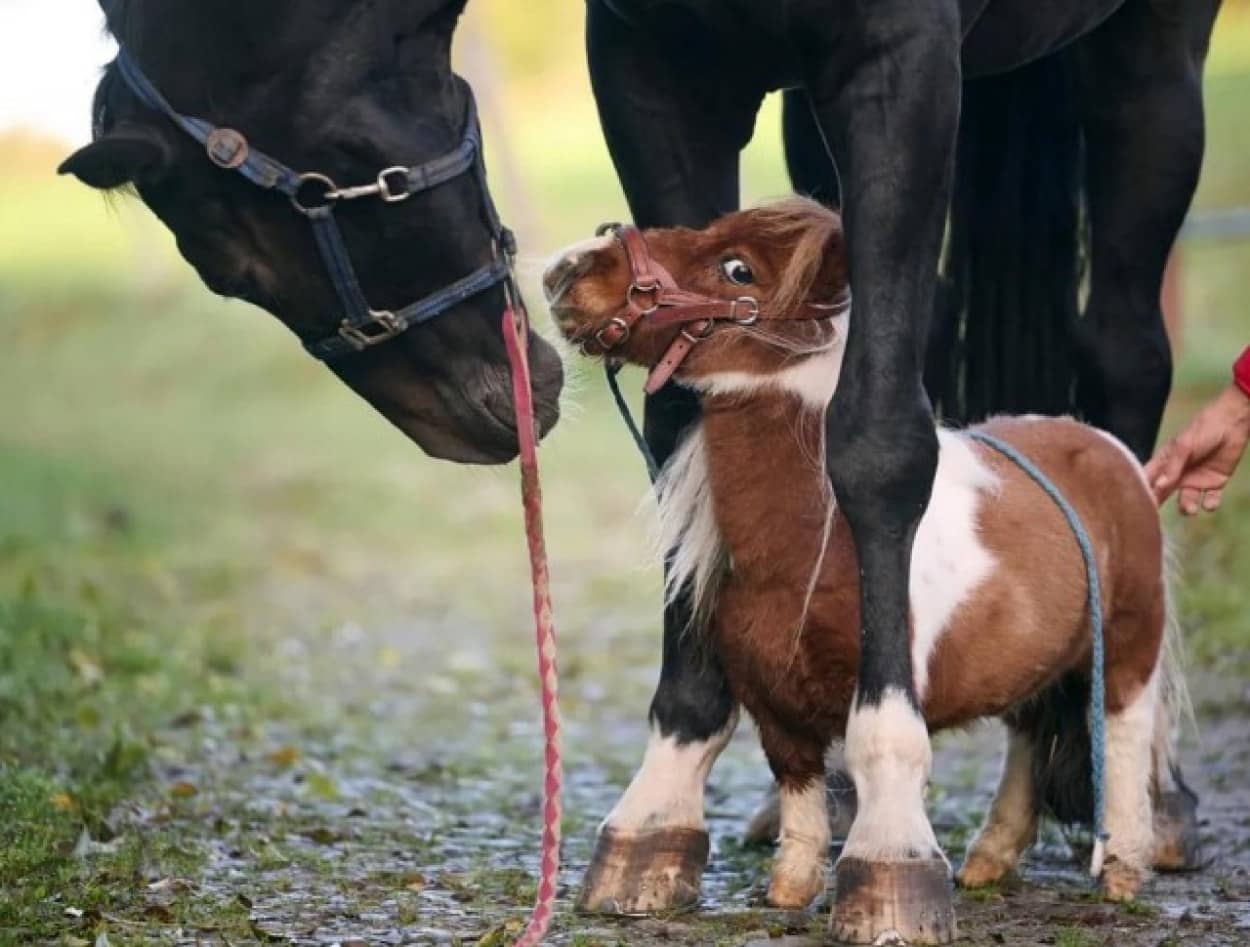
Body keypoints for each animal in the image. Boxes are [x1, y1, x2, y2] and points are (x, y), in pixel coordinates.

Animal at [547, 202, 1190, 914]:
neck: (813, 544)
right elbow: (800, 792)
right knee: (1028, 740)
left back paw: (1124, 867)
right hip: (1041, 665)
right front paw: (789, 890)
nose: (566, 270)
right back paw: (988, 860)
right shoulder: (776, 706)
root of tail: (1112, 452)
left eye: (737, 268)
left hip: (1129, 643)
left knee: (1124, 736)